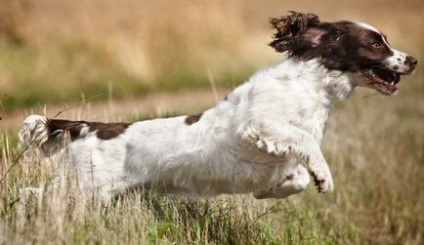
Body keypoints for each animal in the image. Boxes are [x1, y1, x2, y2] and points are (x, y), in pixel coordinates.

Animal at [18, 11, 416, 202]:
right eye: (375, 43)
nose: (412, 60)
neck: (308, 87)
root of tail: (88, 127)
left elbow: (297, 178)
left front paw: (272, 190)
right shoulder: (259, 122)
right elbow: (306, 144)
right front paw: (324, 175)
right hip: (84, 186)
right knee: (35, 195)